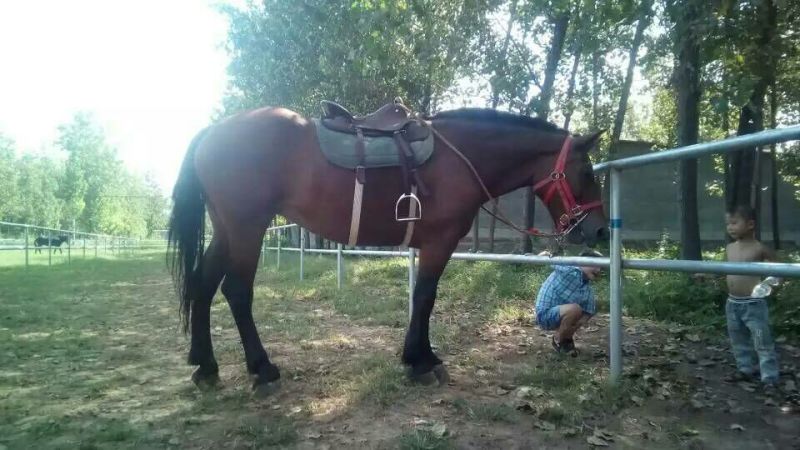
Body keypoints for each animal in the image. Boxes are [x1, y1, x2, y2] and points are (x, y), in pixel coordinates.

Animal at [167, 105, 608, 395]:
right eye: (587, 171)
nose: (600, 230)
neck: (460, 158)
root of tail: (212, 132)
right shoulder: (439, 242)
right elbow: (426, 297)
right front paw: (422, 361)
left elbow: (420, 298)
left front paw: (417, 357)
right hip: (247, 228)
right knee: (236, 292)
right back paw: (262, 369)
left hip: (227, 229)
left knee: (203, 286)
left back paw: (205, 366)